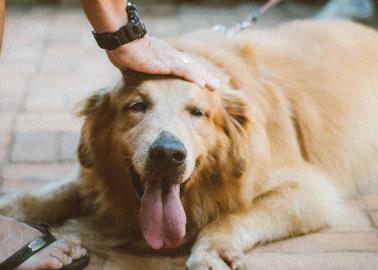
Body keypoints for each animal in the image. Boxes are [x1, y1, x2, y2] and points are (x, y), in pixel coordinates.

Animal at [0, 20, 378, 268]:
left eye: (198, 112)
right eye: (137, 106)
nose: (168, 155)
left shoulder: (309, 190)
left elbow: (235, 215)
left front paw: (213, 247)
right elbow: (54, 192)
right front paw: (13, 208)